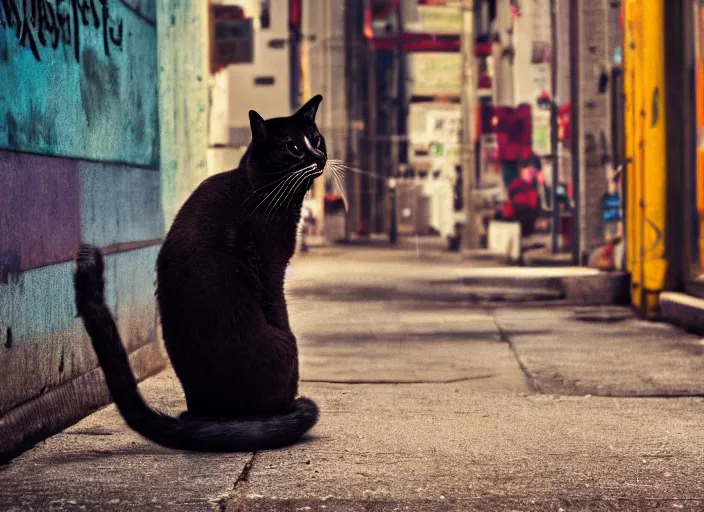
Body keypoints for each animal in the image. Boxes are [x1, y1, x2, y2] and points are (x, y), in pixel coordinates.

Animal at [73, 95, 326, 452]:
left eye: (316, 139)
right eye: (292, 147)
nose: (319, 156)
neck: (257, 186)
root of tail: (206, 415)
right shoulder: (270, 267)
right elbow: (278, 308)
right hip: (286, 343)